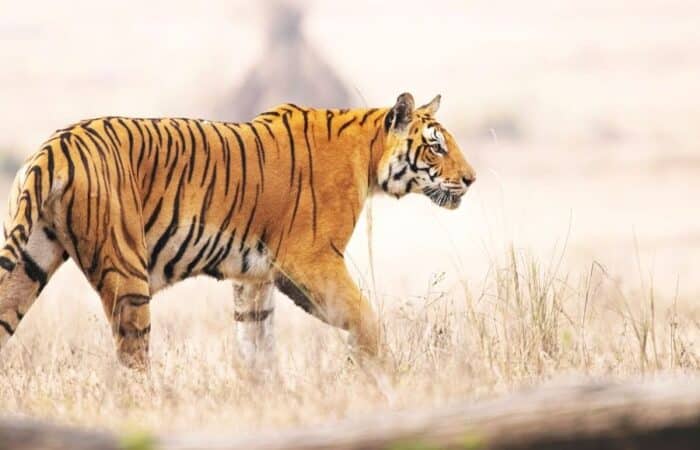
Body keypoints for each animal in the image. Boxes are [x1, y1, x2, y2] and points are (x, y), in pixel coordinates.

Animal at [0, 92, 475, 371]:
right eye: (436, 146)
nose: (471, 179)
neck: (369, 157)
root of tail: (54, 146)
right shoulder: (312, 260)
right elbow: (364, 317)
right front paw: (377, 373)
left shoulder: (256, 275)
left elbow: (255, 342)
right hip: (127, 272)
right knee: (133, 358)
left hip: (29, 260)